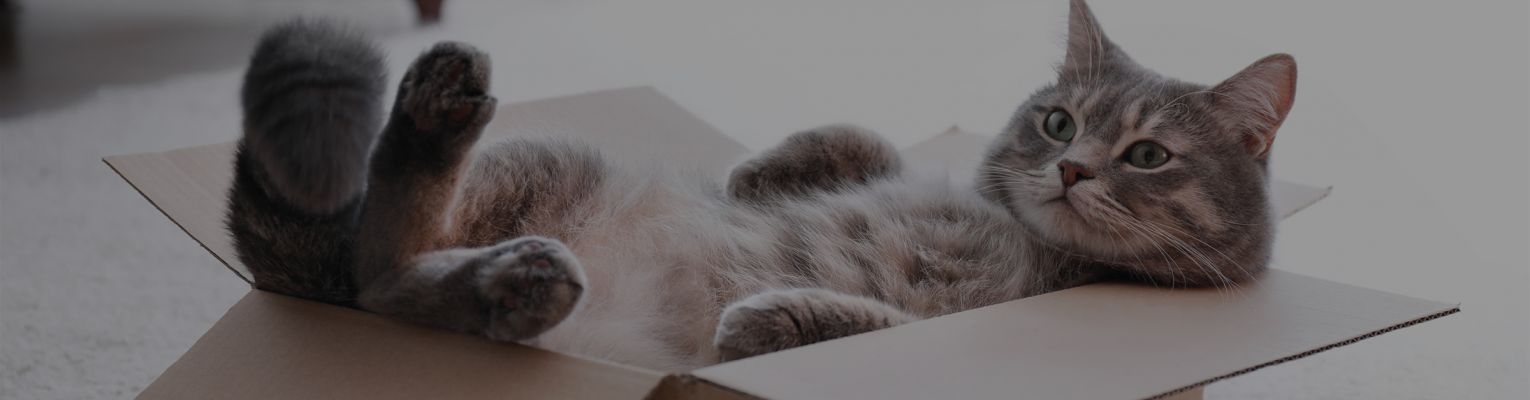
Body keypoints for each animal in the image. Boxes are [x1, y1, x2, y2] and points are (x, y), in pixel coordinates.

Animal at [226, 0, 1297, 369]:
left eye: (1148, 156)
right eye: (1059, 123)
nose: (1069, 168)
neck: (1034, 240)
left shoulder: (957, 321)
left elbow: (868, 322)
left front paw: (765, 319)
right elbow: (873, 141)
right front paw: (761, 170)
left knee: (387, 279)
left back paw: (515, 279)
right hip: (548, 160)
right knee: (372, 250)